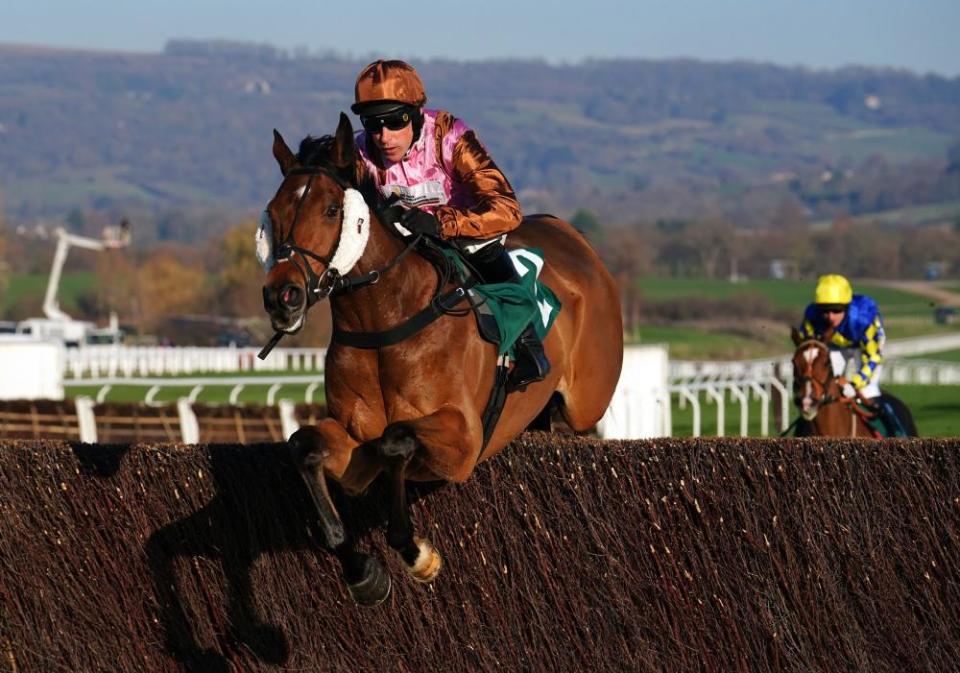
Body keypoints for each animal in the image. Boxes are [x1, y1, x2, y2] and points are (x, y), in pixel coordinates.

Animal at [258, 114, 628, 604]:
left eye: (332, 211)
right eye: (273, 212)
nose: (282, 296)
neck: (386, 320)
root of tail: (573, 238)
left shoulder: (465, 441)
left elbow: (396, 439)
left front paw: (416, 553)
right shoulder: (356, 446)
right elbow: (305, 446)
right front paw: (362, 571)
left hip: (587, 400)